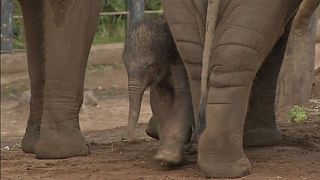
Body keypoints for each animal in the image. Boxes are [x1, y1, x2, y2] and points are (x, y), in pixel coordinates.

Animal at [122, 17, 192, 165]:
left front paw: (169, 157)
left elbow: (184, 94)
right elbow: (159, 100)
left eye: (151, 66)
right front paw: (165, 159)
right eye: (125, 64)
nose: (130, 139)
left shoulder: (181, 63)